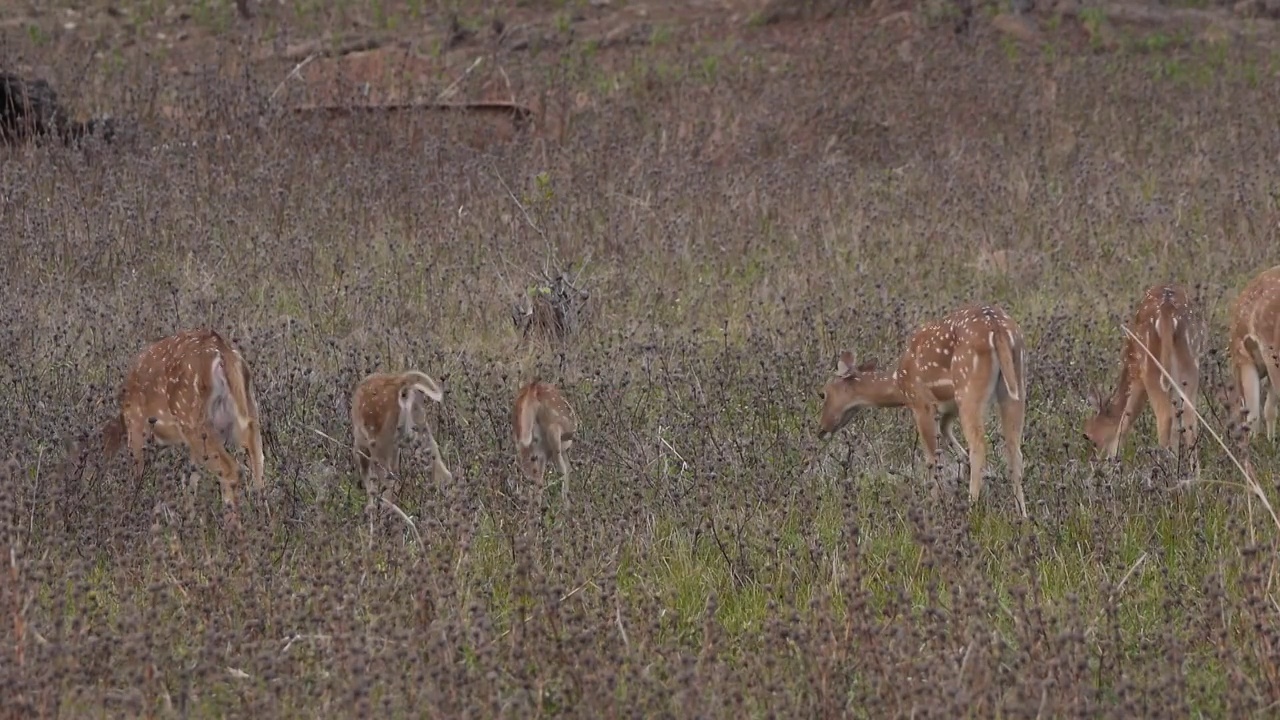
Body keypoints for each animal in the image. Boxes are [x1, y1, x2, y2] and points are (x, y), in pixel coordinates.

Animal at [101, 327, 267, 512]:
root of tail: (221, 352)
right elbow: (191, 483)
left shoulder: (136, 426)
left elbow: (138, 473)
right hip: (246, 411)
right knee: (258, 463)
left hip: (191, 418)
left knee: (231, 470)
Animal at [819, 302, 1029, 515]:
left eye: (823, 394)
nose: (821, 430)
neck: (899, 384)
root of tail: (998, 328)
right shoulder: (947, 409)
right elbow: (955, 448)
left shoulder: (921, 403)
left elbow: (932, 459)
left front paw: (933, 504)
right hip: (1015, 387)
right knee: (1014, 449)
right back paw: (1022, 514)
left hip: (968, 388)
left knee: (978, 447)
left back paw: (972, 508)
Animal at [1080, 283, 1208, 456]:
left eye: (1087, 435)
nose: (1094, 459)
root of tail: (1167, 311)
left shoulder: (1137, 373)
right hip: (1191, 363)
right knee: (1189, 421)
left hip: (1151, 367)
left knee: (1165, 419)